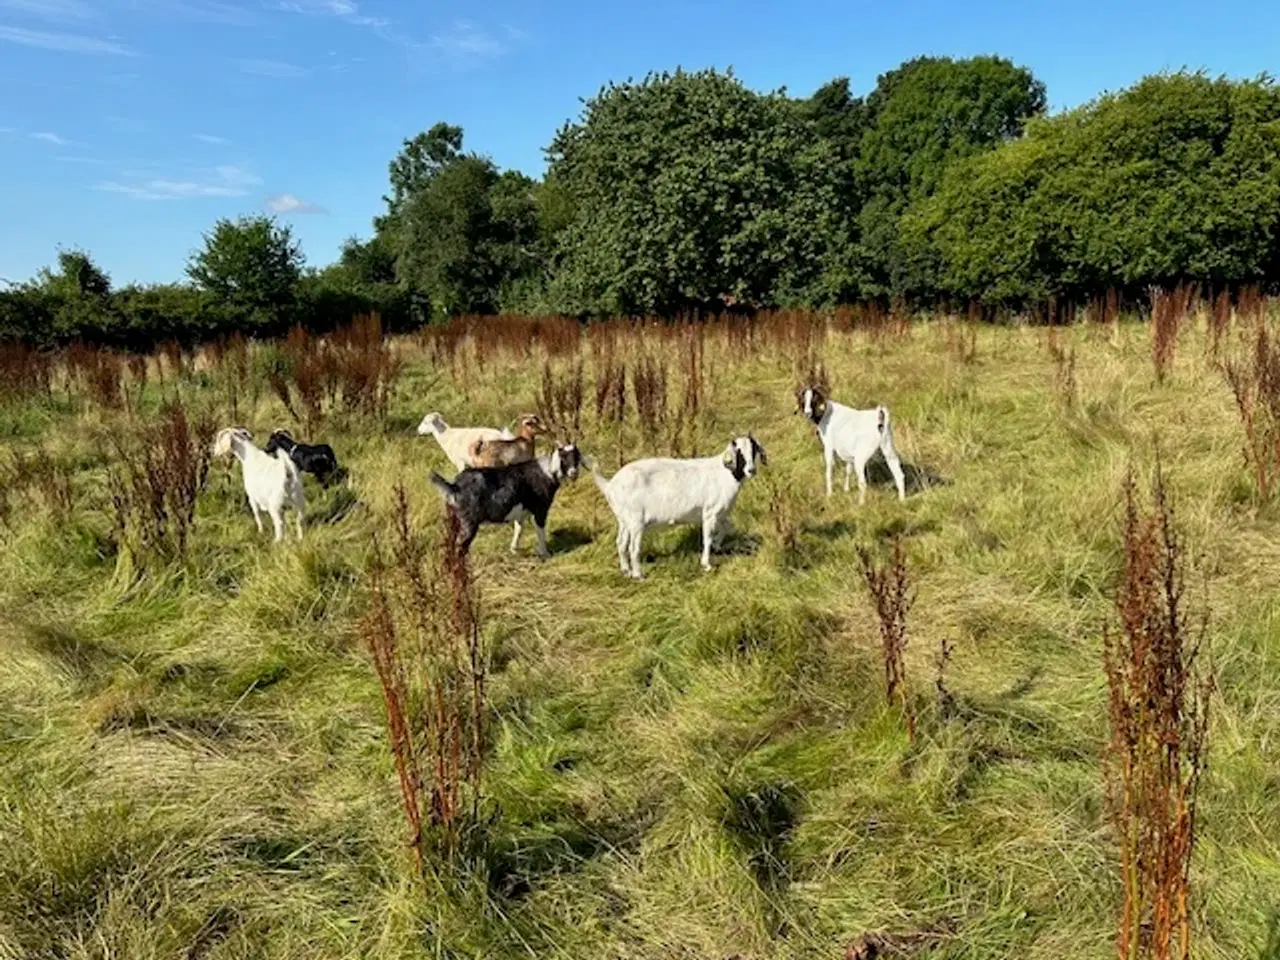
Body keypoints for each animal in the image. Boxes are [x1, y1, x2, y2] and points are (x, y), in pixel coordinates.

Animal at [435, 442, 586, 555]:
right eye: (563, 458)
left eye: (576, 456)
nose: (573, 472)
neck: (547, 472)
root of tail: (454, 486)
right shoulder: (540, 509)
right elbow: (540, 531)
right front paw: (545, 553)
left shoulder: (521, 512)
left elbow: (519, 529)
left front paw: (514, 549)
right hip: (468, 522)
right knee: (460, 547)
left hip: (454, 521)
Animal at [591, 435, 762, 578]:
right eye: (739, 453)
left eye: (753, 450)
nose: (751, 470)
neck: (724, 474)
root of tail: (610, 486)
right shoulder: (710, 513)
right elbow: (707, 539)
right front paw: (706, 565)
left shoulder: (720, 514)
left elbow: (728, 526)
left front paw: (717, 545)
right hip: (636, 521)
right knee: (633, 548)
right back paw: (638, 575)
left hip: (624, 520)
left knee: (621, 543)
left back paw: (626, 570)